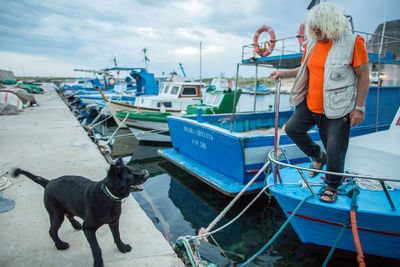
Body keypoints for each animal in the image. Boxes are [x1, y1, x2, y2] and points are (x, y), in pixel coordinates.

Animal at [14, 159, 149, 267]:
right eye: (129, 174)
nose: (146, 174)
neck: (108, 196)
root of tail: (48, 182)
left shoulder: (114, 221)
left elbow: (117, 236)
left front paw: (122, 247)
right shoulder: (89, 229)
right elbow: (96, 249)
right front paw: (98, 264)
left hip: (68, 206)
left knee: (69, 215)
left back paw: (76, 225)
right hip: (56, 214)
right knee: (52, 231)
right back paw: (60, 245)